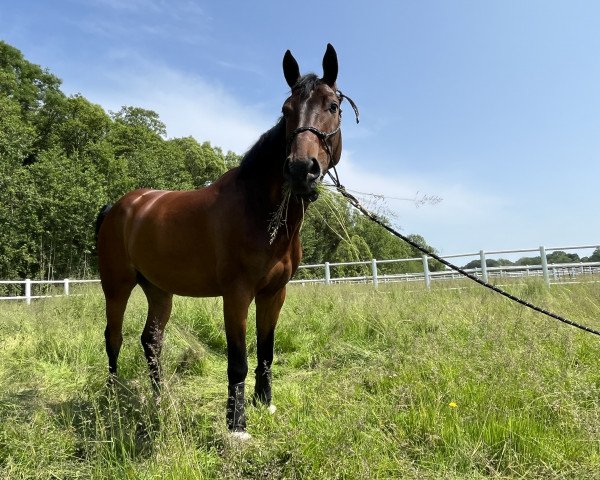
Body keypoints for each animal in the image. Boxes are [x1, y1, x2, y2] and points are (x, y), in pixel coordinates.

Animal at [96, 45, 354, 438]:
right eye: (286, 110)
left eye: (333, 106)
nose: (300, 169)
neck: (257, 207)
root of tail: (117, 207)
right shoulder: (236, 294)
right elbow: (238, 362)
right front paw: (237, 425)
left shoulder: (273, 294)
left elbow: (266, 351)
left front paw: (266, 404)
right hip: (117, 286)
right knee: (114, 337)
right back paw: (112, 397)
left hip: (159, 290)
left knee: (151, 341)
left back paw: (160, 398)